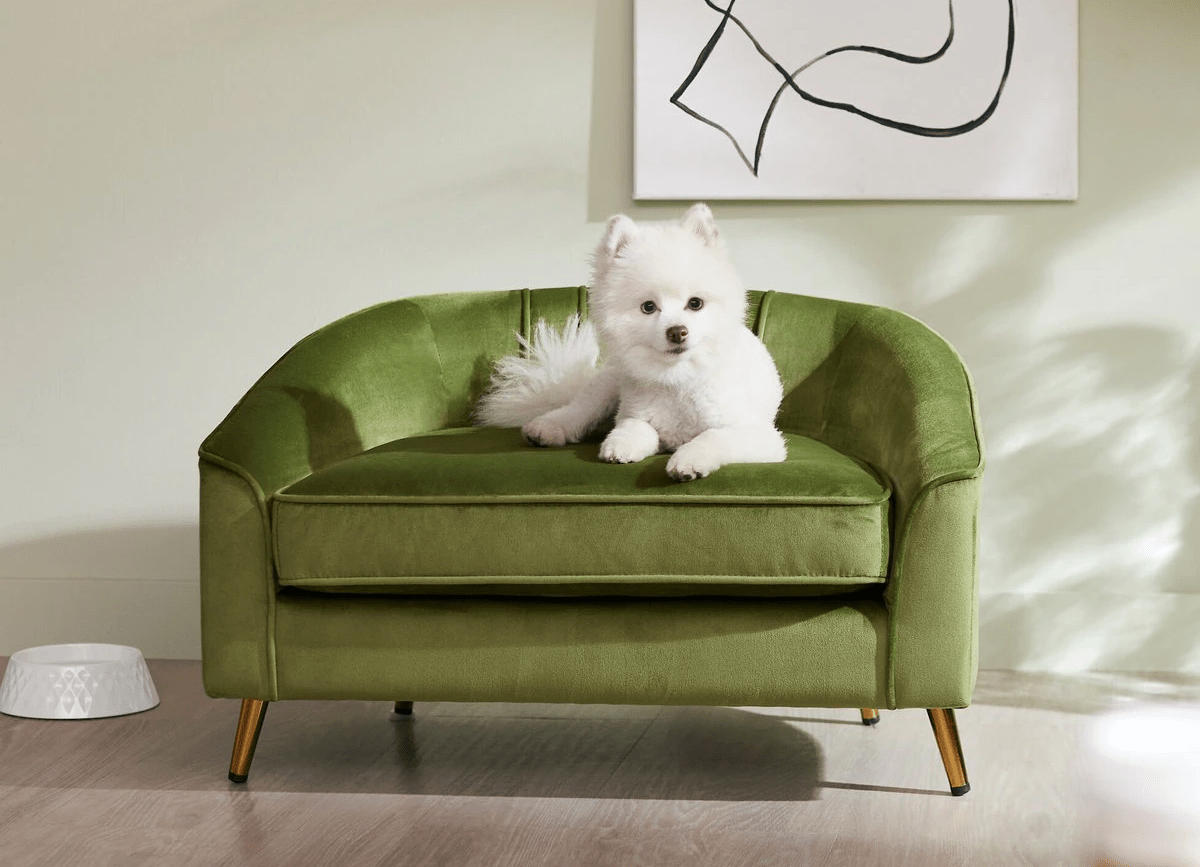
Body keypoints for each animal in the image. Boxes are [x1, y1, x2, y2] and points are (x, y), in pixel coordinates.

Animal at [477, 202, 787, 480]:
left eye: (695, 303)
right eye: (648, 307)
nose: (677, 331)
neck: (677, 381)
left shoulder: (760, 436)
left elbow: (713, 437)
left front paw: (688, 460)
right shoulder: (636, 413)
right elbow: (634, 426)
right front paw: (620, 445)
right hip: (608, 385)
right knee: (579, 410)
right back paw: (547, 428)